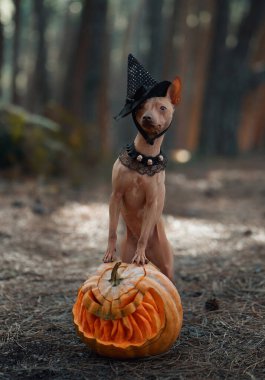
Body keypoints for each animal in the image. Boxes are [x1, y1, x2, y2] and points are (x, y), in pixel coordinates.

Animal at [102, 77, 180, 280]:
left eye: (162, 108)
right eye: (142, 106)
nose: (147, 117)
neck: (144, 157)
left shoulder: (152, 202)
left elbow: (144, 235)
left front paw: (139, 254)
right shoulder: (116, 196)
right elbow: (112, 230)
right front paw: (109, 252)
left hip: (166, 265)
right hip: (126, 253)